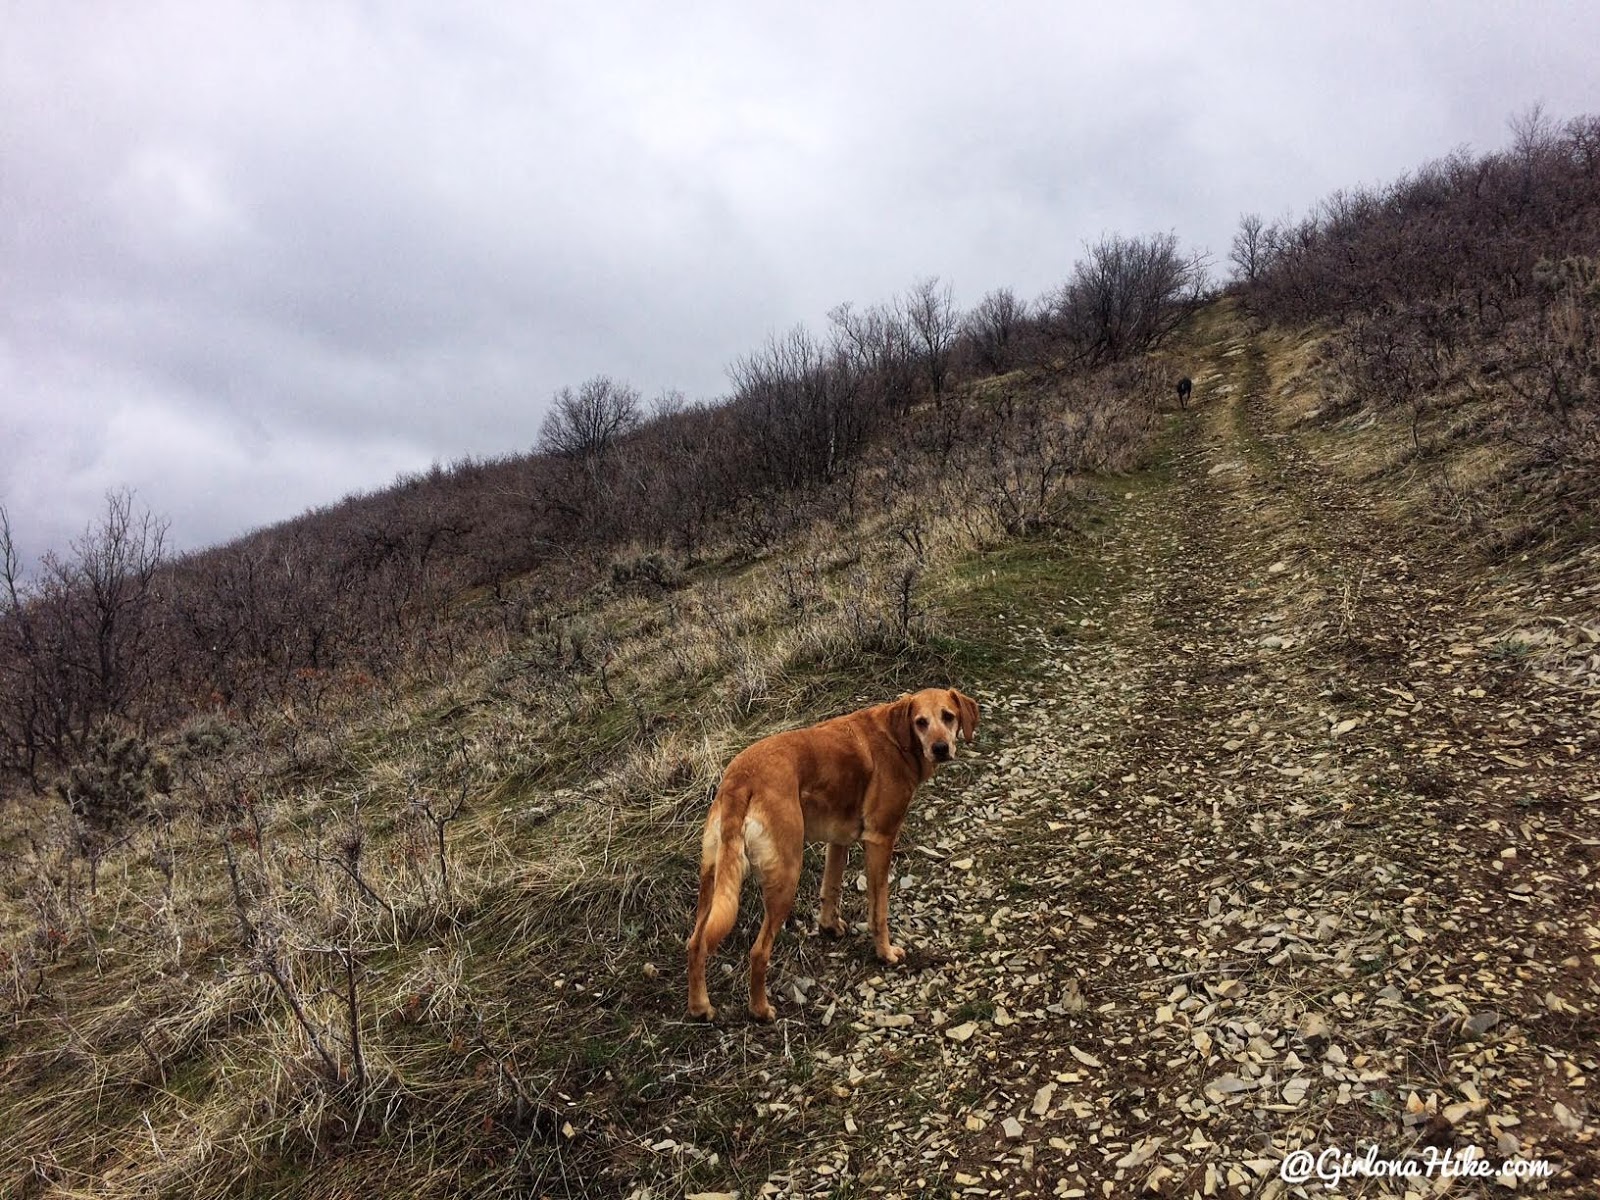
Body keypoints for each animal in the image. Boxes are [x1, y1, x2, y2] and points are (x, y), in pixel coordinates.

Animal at [684, 691, 972, 1017]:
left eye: (948, 716)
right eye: (921, 722)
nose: (941, 748)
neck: (897, 736)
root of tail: (739, 780)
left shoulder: (838, 841)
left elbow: (831, 888)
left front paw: (829, 927)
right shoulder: (880, 840)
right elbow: (879, 909)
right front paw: (885, 953)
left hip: (714, 880)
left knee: (696, 943)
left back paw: (700, 1006)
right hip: (786, 875)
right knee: (758, 952)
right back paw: (760, 1010)